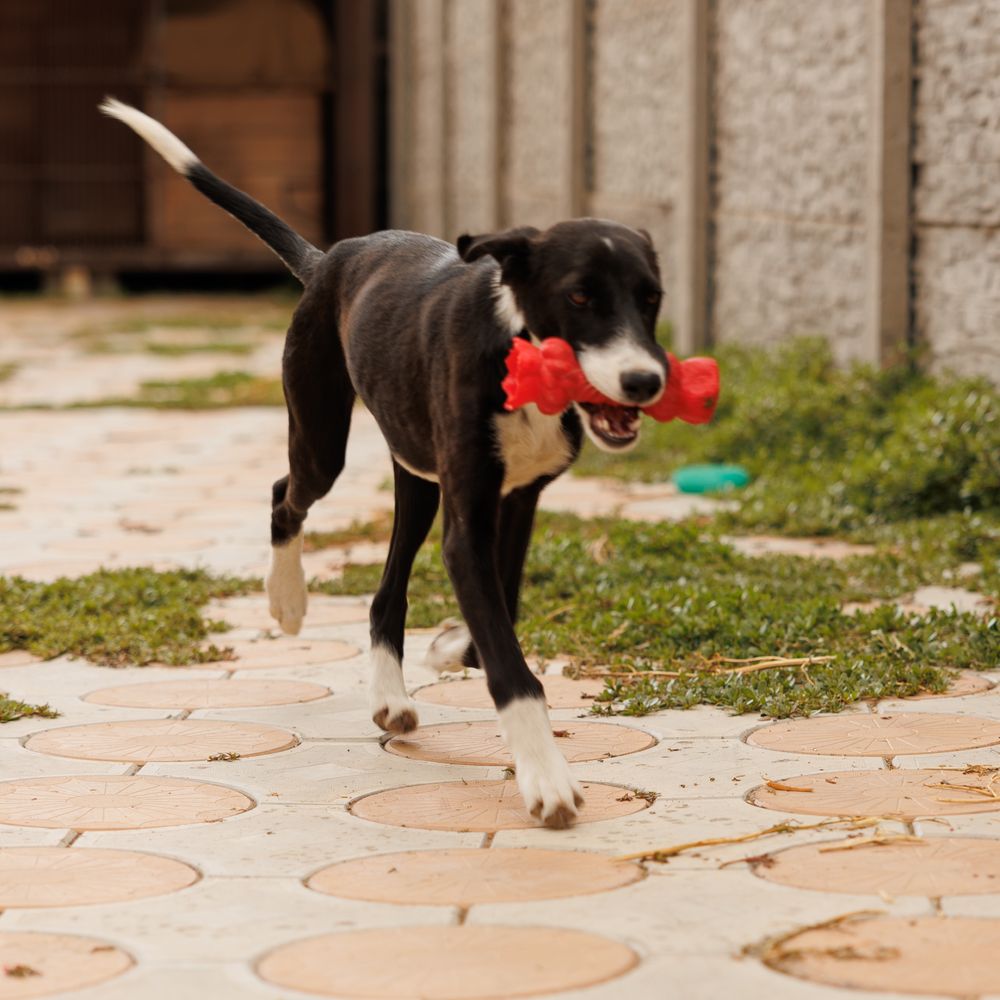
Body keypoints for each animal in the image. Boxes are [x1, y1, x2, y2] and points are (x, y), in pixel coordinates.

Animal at [101, 97, 668, 828]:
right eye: (578, 297)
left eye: (651, 297)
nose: (644, 381)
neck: (517, 346)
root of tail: (328, 258)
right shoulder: (468, 525)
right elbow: (511, 667)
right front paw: (546, 779)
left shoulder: (517, 501)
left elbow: (502, 609)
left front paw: (456, 644)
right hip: (322, 440)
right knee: (285, 491)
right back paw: (287, 601)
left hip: (418, 476)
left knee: (385, 592)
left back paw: (391, 695)